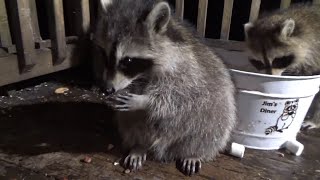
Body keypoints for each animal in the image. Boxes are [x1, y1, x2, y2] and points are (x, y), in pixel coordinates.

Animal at [91, 0, 236, 175]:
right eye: (104, 55)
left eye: (128, 61)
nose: (107, 89)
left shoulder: (188, 71)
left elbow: (181, 97)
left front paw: (144, 101)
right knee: (130, 123)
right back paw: (139, 146)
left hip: (214, 116)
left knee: (210, 131)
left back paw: (194, 153)